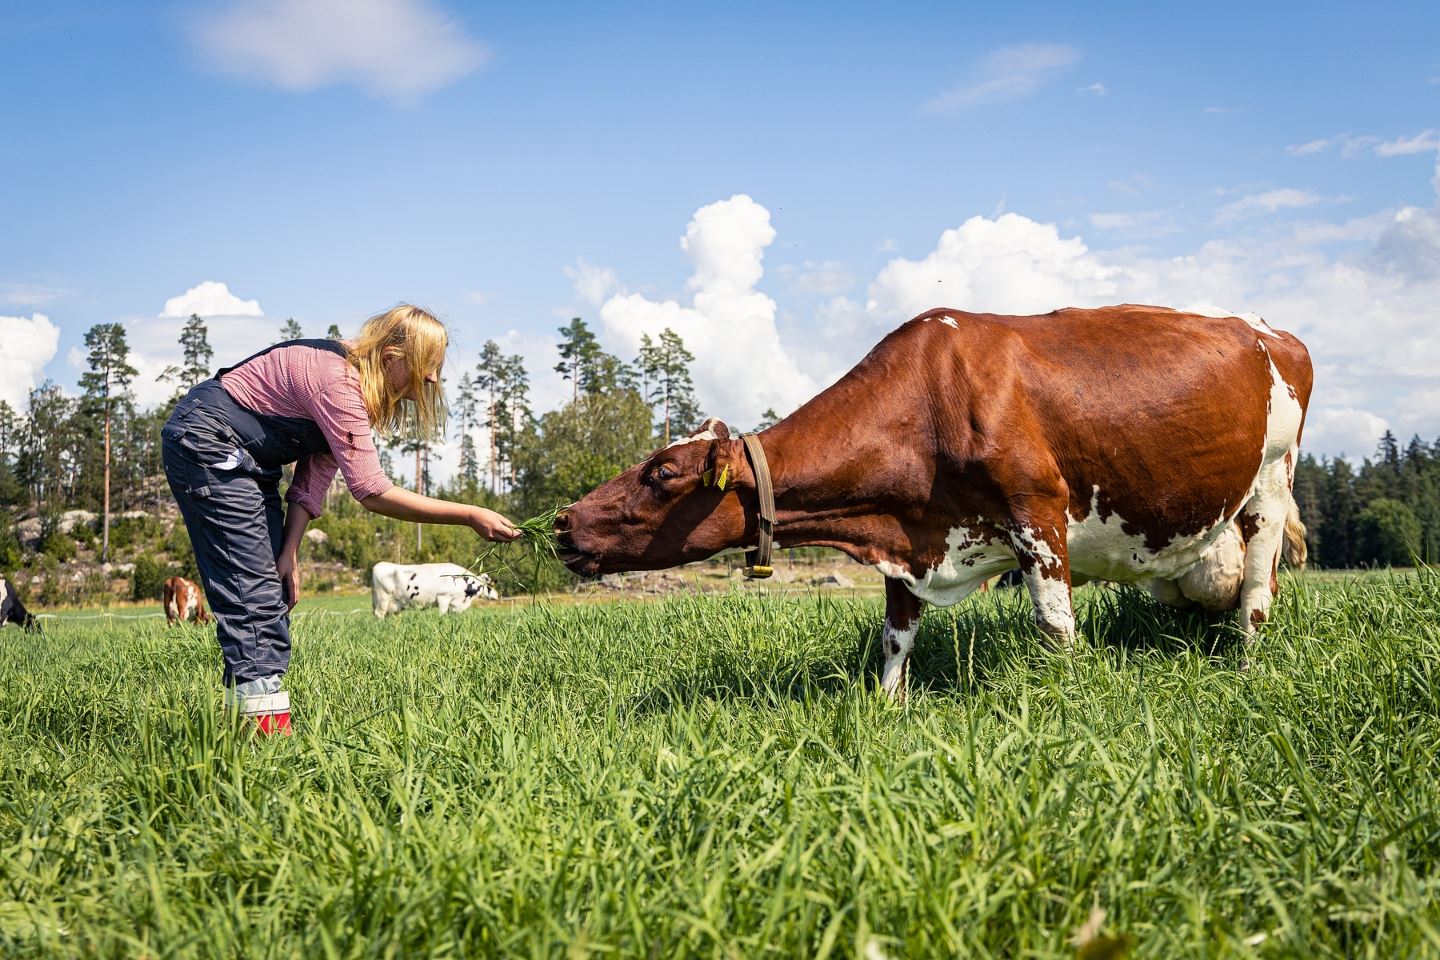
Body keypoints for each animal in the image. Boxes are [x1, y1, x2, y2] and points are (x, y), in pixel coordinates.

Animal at [371, 558, 501, 618]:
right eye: (490, 585)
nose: (498, 595)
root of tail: (378, 565)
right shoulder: (443, 597)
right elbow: (442, 614)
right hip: (383, 598)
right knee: (379, 614)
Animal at [552, 303, 1319, 693]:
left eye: (661, 473)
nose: (562, 521)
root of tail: (1273, 329)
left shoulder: (1038, 511)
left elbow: (1056, 628)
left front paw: (1069, 701)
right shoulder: (907, 538)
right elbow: (895, 638)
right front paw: (885, 712)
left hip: (1271, 483)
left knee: (1258, 592)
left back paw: (1245, 668)